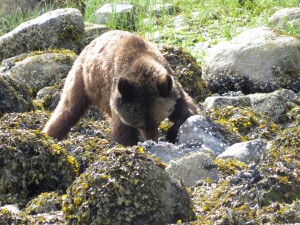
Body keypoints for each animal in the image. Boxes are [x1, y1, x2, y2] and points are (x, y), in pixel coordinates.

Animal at [42, 30, 197, 146]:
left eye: (158, 121)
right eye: (139, 125)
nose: (151, 140)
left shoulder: (170, 85)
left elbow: (187, 109)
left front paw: (173, 132)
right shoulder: (118, 97)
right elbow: (122, 132)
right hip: (81, 79)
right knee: (68, 108)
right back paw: (49, 134)